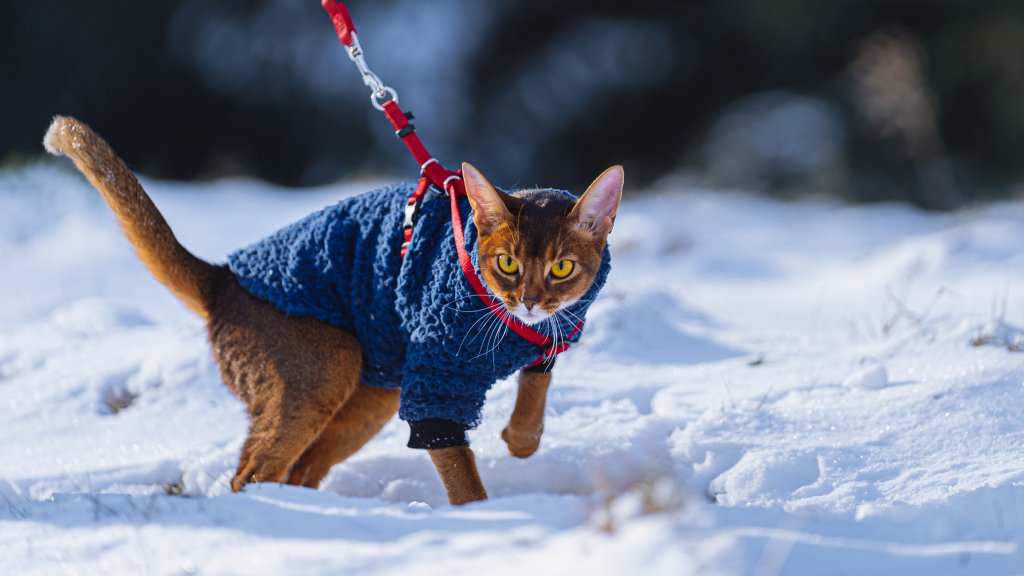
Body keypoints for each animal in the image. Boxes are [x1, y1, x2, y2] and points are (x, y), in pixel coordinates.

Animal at [44, 115, 618, 502]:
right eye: (507, 263)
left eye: (562, 267)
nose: (530, 301)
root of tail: (222, 280)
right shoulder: (434, 380)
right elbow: (461, 474)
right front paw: (478, 522)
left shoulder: (545, 341)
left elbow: (536, 390)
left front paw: (520, 440)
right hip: (328, 364)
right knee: (251, 472)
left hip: (369, 395)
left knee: (297, 469)